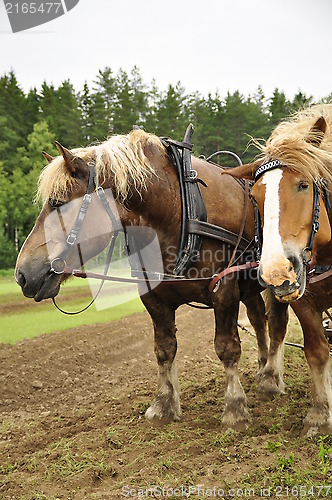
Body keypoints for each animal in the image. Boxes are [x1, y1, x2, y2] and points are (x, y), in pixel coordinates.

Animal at [16, 129, 270, 430]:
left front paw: (235, 409)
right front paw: (163, 405)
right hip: (250, 290)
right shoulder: (154, 298)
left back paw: (271, 378)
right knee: (259, 319)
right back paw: (265, 369)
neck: (179, 209)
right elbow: (164, 349)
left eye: (57, 203)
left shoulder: (225, 290)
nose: (21, 274)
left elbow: (226, 348)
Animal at [226, 104, 332, 434]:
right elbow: (316, 350)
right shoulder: (302, 299)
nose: (276, 272)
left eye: (303, 184)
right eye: (254, 196)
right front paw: (320, 413)